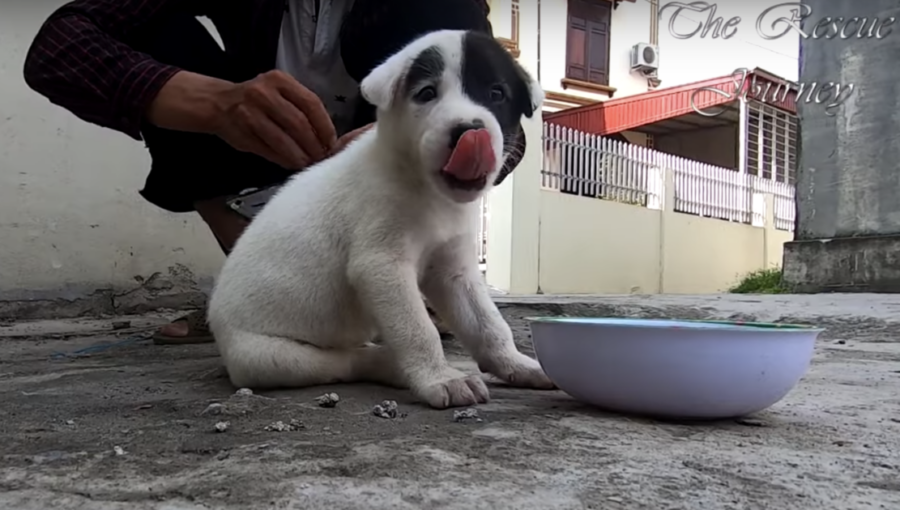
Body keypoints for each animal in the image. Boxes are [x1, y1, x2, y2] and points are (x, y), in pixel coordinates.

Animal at [208, 28, 556, 410]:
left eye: (496, 93)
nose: (467, 131)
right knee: (346, 361)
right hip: (271, 356)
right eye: (426, 93)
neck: (425, 189)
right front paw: (440, 378)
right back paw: (392, 366)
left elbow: (489, 324)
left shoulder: (453, 272)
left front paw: (516, 364)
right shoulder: (382, 266)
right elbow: (419, 329)